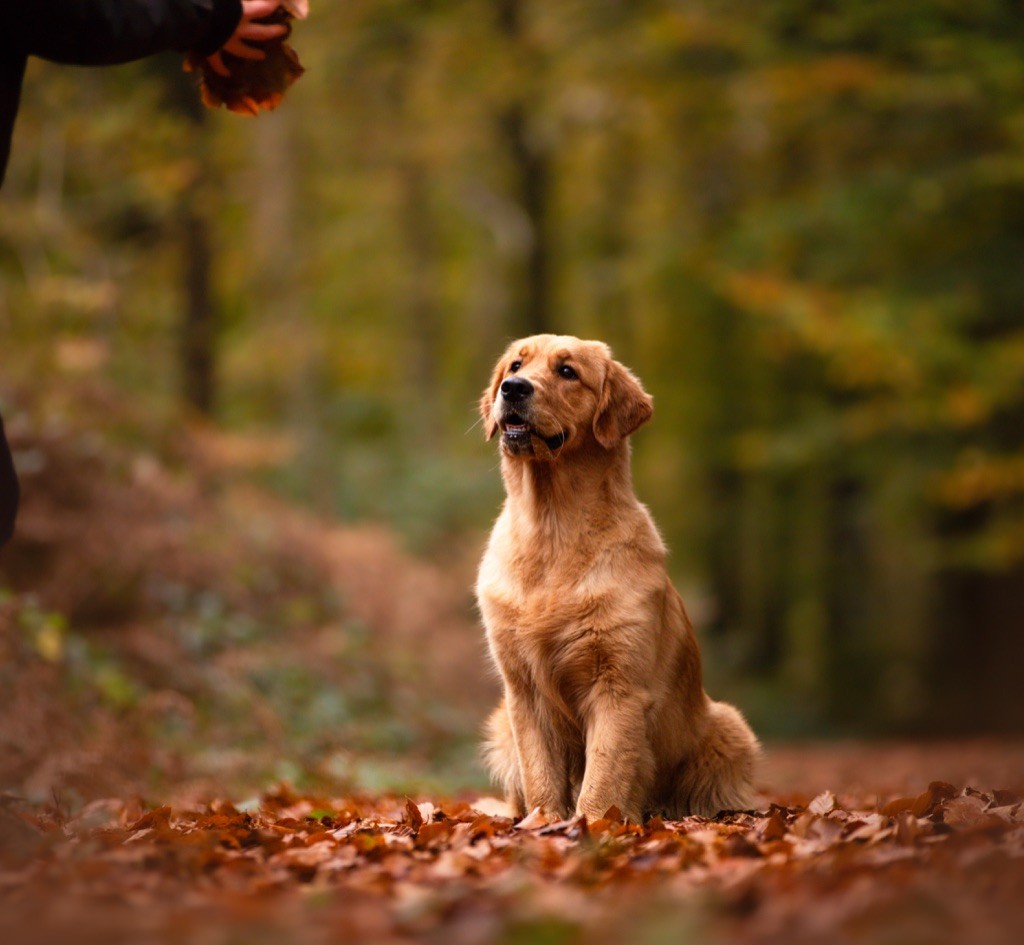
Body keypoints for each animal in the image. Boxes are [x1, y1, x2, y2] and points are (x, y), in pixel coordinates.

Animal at [475, 335, 757, 823]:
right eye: (515, 365)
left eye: (568, 371)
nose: (513, 389)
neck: (552, 528)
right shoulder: (522, 689)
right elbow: (540, 772)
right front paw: (544, 823)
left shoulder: (618, 684)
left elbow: (604, 772)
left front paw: (590, 824)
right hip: (500, 723)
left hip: (730, 726)